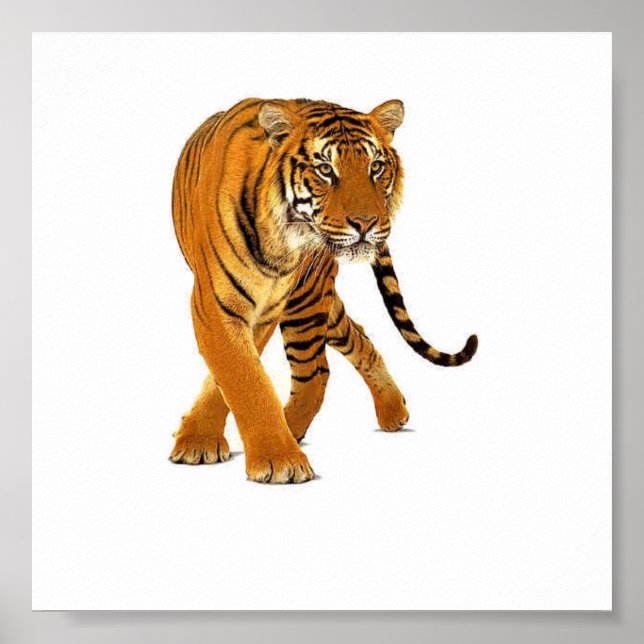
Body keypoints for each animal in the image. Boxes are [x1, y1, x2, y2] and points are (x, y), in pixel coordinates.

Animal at [169, 97, 478, 484]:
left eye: (376, 167)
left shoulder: (268, 309)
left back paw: (297, 428)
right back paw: (392, 411)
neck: (281, 242)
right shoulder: (217, 305)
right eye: (325, 170)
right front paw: (204, 440)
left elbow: (241, 378)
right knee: (358, 338)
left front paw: (278, 458)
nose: (366, 223)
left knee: (316, 372)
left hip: (307, 299)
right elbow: (242, 378)